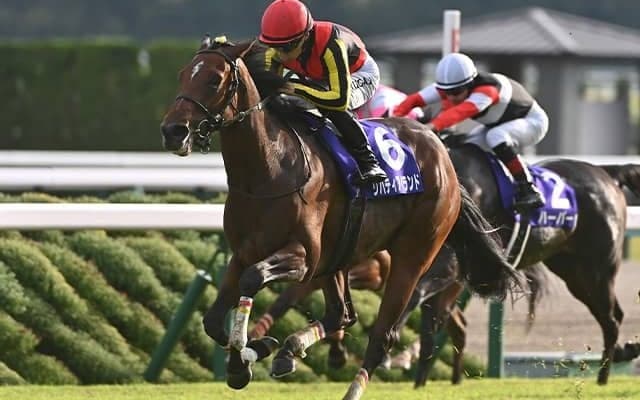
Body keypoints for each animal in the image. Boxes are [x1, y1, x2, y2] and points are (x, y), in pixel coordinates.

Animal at [159, 36, 520, 399]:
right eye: (181, 75)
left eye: (214, 79)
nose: (173, 131)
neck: (269, 170)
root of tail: (443, 155)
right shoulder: (244, 252)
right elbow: (213, 320)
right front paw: (249, 355)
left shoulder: (303, 256)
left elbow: (253, 278)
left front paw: (247, 352)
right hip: (339, 256)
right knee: (341, 315)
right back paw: (289, 350)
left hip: (412, 257)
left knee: (383, 335)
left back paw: (350, 385)